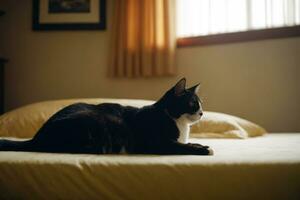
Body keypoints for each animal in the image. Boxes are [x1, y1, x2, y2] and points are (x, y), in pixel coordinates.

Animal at [0, 77, 213, 155]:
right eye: (193, 104)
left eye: (201, 104)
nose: (202, 113)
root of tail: (36, 138)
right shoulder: (157, 143)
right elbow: (180, 146)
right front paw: (203, 149)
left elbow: (186, 143)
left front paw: (199, 144)